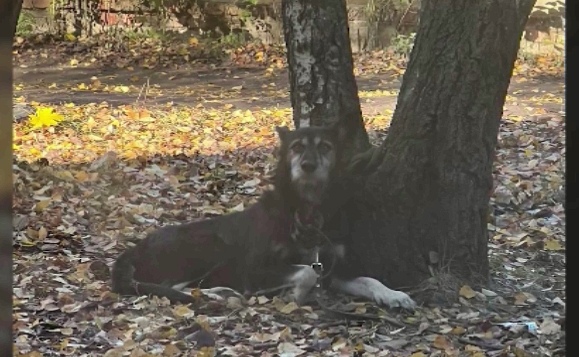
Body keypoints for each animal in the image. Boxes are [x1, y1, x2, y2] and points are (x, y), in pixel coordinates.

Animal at [110, 124, 416, 308]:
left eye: (325, 147)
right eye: (296, 147)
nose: (308, 166)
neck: (306, 211)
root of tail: (131, 252)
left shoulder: (332, 268)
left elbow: (368, 279)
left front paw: (395, 294)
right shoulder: (254, 268)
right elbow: (306, 272)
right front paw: (296, 294)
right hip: (205, 248)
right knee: (169, 286)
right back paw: (217, 293)